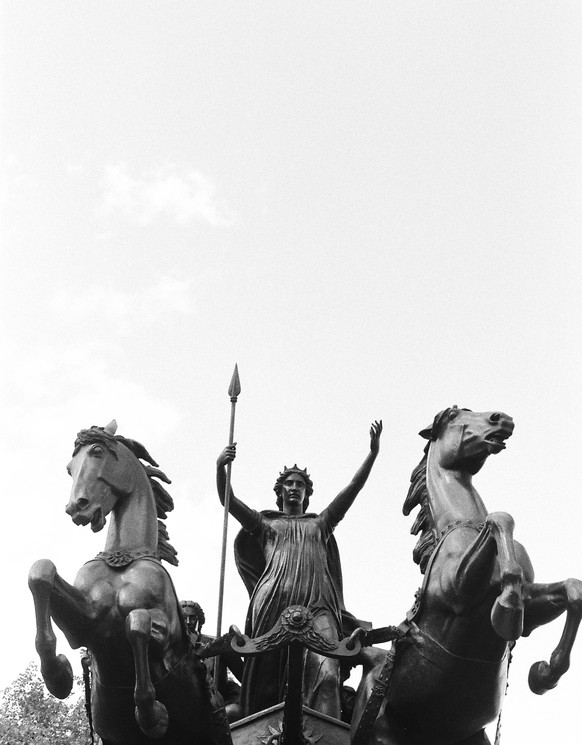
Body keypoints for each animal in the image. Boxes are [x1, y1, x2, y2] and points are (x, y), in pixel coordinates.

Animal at [29, 424, 230, 744]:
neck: (123, 559)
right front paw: (58, 675)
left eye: (97, 452)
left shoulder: (167, 636)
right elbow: (40, 572)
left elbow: (136, 623)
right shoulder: (86, 624)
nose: (77, 507)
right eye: (70, 468)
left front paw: (152, 715)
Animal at [352, 406, 582, 744]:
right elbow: (500, 518)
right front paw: (508, 608)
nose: (501, 419)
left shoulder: (533, 607)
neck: (464, 523)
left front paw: (544, 673)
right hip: (378, 732)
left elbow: (571, 590)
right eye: (452, 416)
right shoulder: (460, 591)